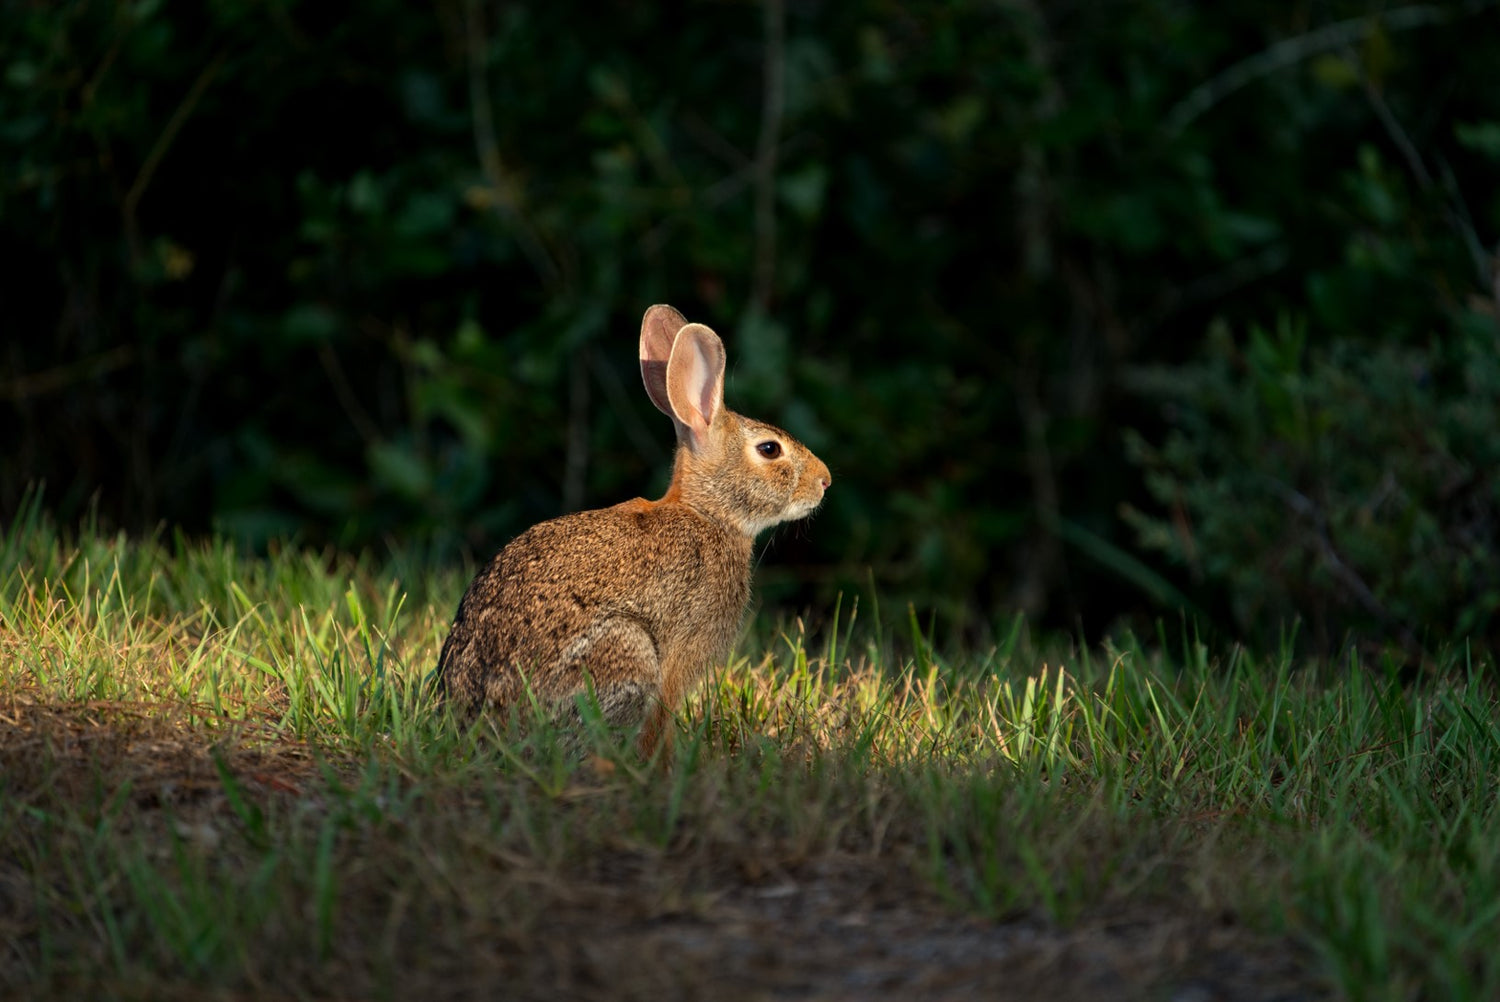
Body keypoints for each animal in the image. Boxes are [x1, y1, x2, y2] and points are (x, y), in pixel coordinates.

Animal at [435, 301, 834, 756]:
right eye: (769, 449)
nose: (825, 481)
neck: (708, 513)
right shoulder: (678, 657)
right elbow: (662, 718)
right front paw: (663, 763)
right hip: (627, 651)